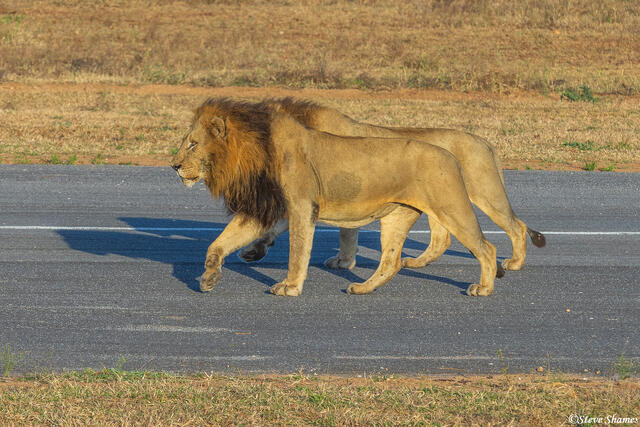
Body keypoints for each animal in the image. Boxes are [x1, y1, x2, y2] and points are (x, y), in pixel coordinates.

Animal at [171, 97, 502, 297]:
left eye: (192, 144)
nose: (173, 166)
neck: (254, 153)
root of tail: (450, 153)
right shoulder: (265, 209)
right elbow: (219, 243)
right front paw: (209, 277)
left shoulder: (302, 206)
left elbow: (298, 251)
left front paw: (290, 287)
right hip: (397, 216)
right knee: (390, 261)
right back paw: (362, 288)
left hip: (452, 207)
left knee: (487, 247)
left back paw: (484, 288)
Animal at [239, 97, 545, 271]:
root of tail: (485, 141)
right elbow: (278, 224)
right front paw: (254, 250)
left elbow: (346, 233)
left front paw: (343, 262)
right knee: (442, 238)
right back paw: (416, 262)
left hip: (483, 191)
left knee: (516, 227)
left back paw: (514, 264)